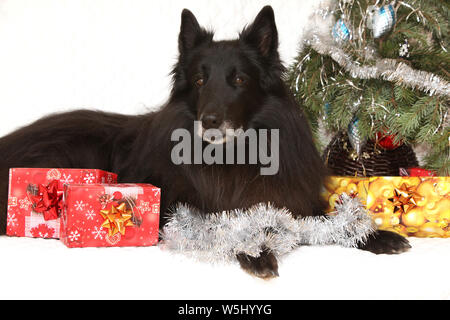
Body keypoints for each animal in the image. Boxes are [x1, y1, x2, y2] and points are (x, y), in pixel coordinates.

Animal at [0, 6, 410, 278]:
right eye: (199, 80)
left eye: (239, 80)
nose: (209, 120)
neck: (231, 155)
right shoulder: (177, 206)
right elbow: (226, 224)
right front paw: (254, 248)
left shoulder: (291, 199)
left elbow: (329, 220)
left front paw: (376, 235)